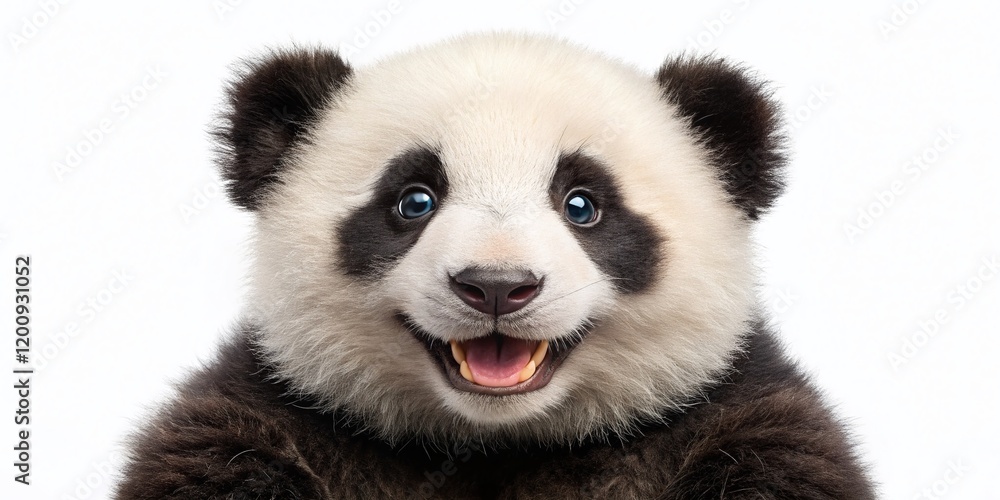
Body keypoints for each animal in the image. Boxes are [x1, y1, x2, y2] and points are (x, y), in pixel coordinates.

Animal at [116, 33, 875, 499]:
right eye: (414, 200)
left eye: (582, 204)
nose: (497, 287)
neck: (496, 442)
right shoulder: (274, 416)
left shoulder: (736, 423)